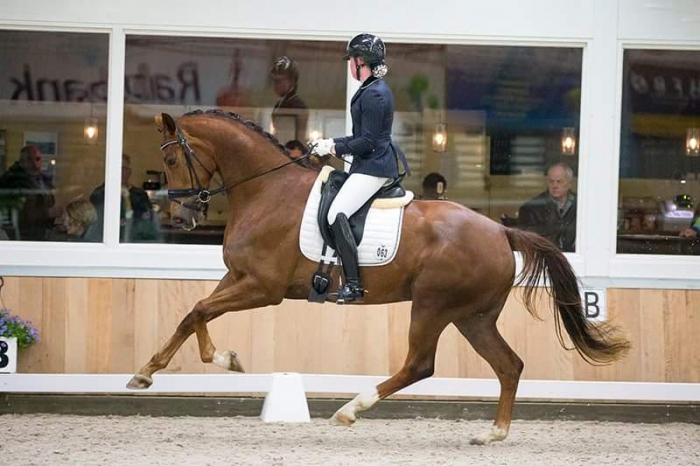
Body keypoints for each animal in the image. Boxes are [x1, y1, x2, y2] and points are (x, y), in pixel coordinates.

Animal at [126, 109, 628, 444]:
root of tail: (501, 230)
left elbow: (197, 309)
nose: (182, 217)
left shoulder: (262, 288)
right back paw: (493, 434)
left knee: (420, 364)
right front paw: (171, 368)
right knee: (509, 365)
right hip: (473, 316)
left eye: (171, 162)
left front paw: (196, 363)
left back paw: (351, 410)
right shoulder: (238, 277)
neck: (266, 189)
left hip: (433, 306)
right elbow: (194, 314)